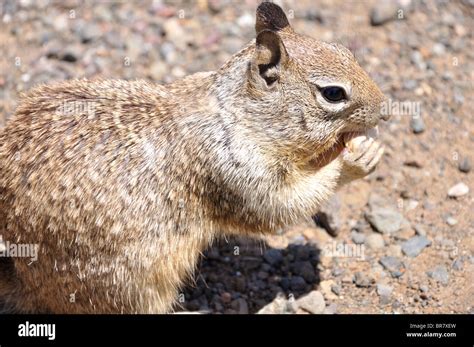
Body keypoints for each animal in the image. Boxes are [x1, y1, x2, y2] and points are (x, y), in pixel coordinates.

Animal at [0, 2, 386, 314]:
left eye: (343, 50)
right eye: (333, 93)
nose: (384, 109)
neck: (237, 113)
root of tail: (27, 281)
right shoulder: (234, 170)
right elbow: (279, 207)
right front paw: (352, 161)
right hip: (131, 285)